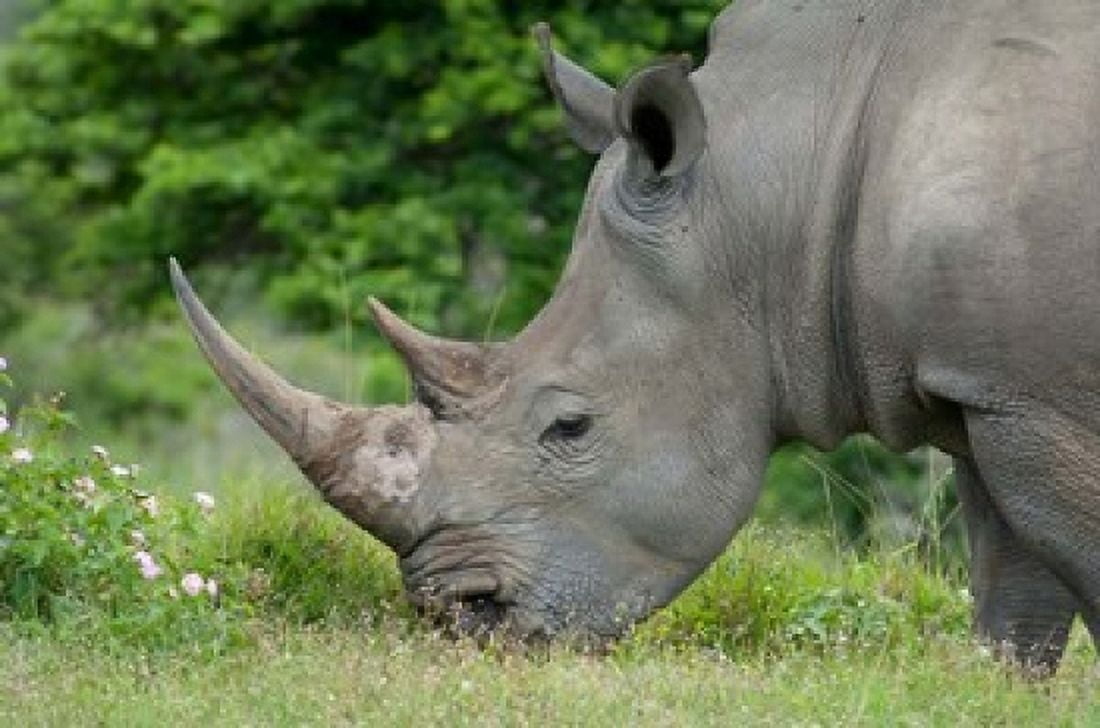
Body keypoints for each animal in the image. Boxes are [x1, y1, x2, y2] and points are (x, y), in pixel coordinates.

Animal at [170, 0, 1100, 671]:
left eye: (570, 427)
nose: (460, 617)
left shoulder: (1036, 399)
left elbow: (1069, 557)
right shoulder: (987, 382)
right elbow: (1014, 594)